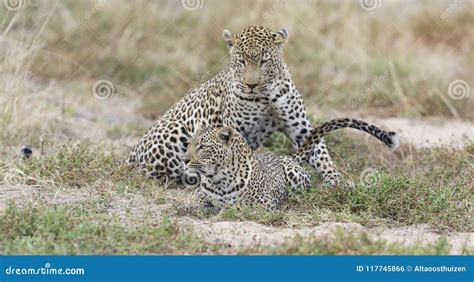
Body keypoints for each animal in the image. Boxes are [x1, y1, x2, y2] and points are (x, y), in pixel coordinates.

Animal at [128, 25, 342, 185]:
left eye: (264, 61)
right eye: (241, 61)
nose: (251, 84)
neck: (266, 97)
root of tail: (133, 150)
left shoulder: (301, 130)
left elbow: (321, 154)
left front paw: (338, 181)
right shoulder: (236, 130)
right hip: (176, 132)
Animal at [182, 117, 400, 212]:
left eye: (202, 147)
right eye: (189, 144)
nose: (185, 159)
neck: (218, 179)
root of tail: (290, 157)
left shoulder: (265, 203)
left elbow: (240, 207)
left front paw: (226, 210)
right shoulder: (201, 195)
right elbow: (198, 202)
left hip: (295, 179)